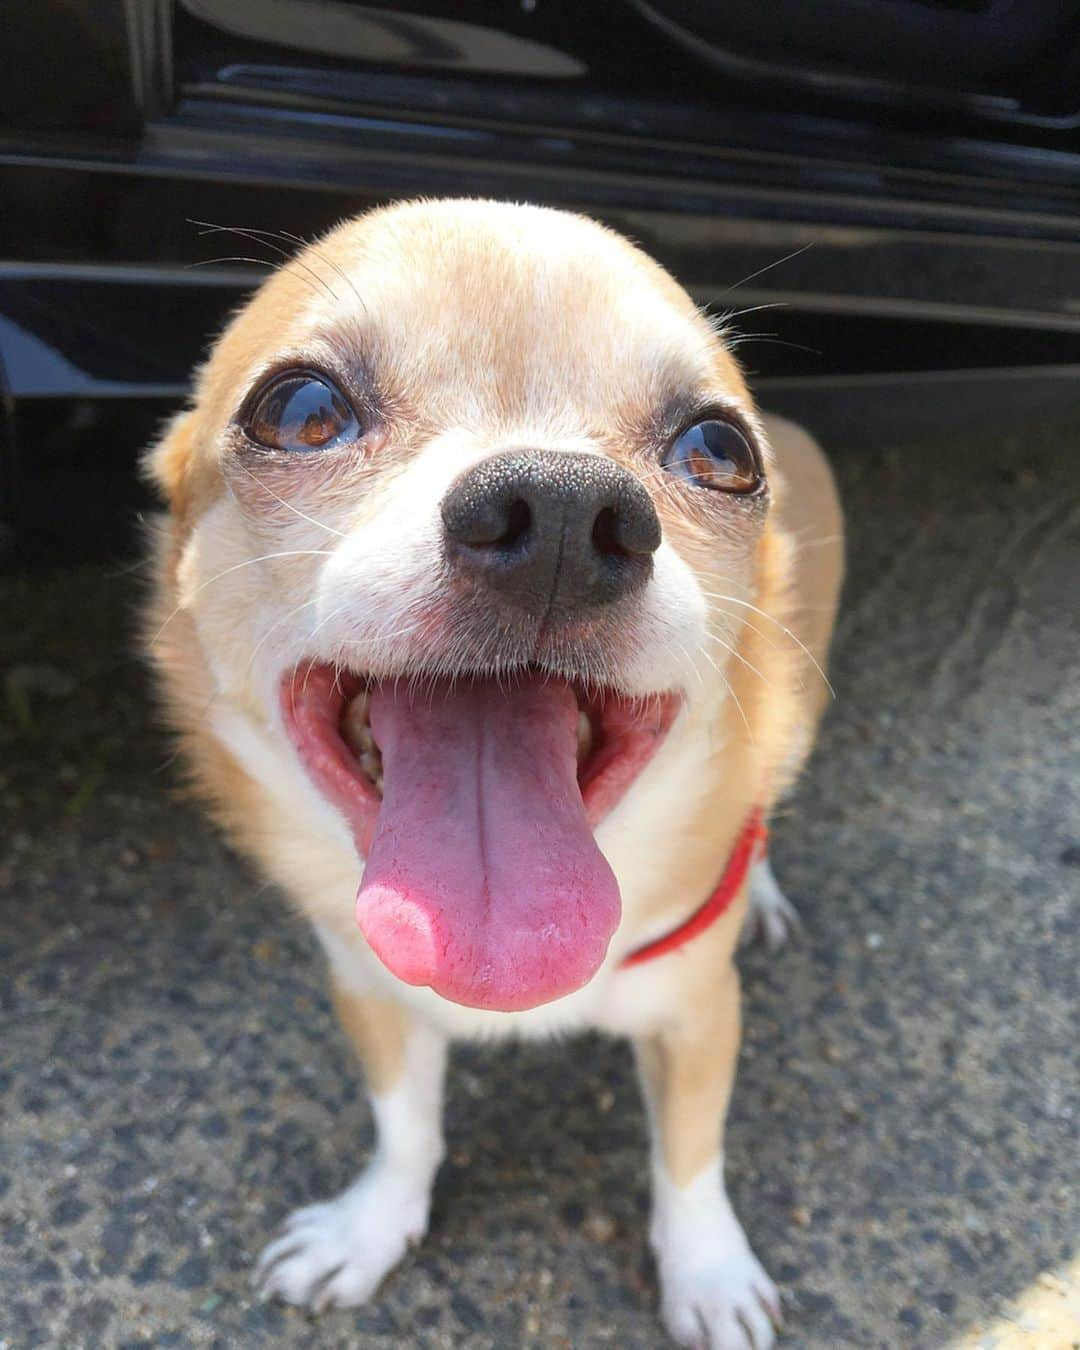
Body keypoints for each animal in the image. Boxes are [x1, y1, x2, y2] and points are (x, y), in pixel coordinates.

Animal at [145, 195, 842, 1344]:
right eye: (300, 409)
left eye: (718, 449)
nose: (558, 509)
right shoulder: (369, 990)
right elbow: (404, 1124)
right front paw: (370, 1228)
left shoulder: (700, 1012)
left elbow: (690, 1157)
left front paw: (707, 1272)